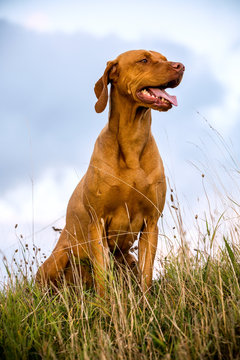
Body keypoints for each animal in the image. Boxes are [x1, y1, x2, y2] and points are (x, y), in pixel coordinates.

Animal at [36, 49, 185, 296]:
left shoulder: (151, 224)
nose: (180, 66)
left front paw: (145, 302)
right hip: (59, 257)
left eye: (164, 58)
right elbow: (102, 276)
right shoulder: (97, 223)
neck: (132, 141)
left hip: (128, 258)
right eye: (143, 60)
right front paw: (106, 304)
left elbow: (146, 274)